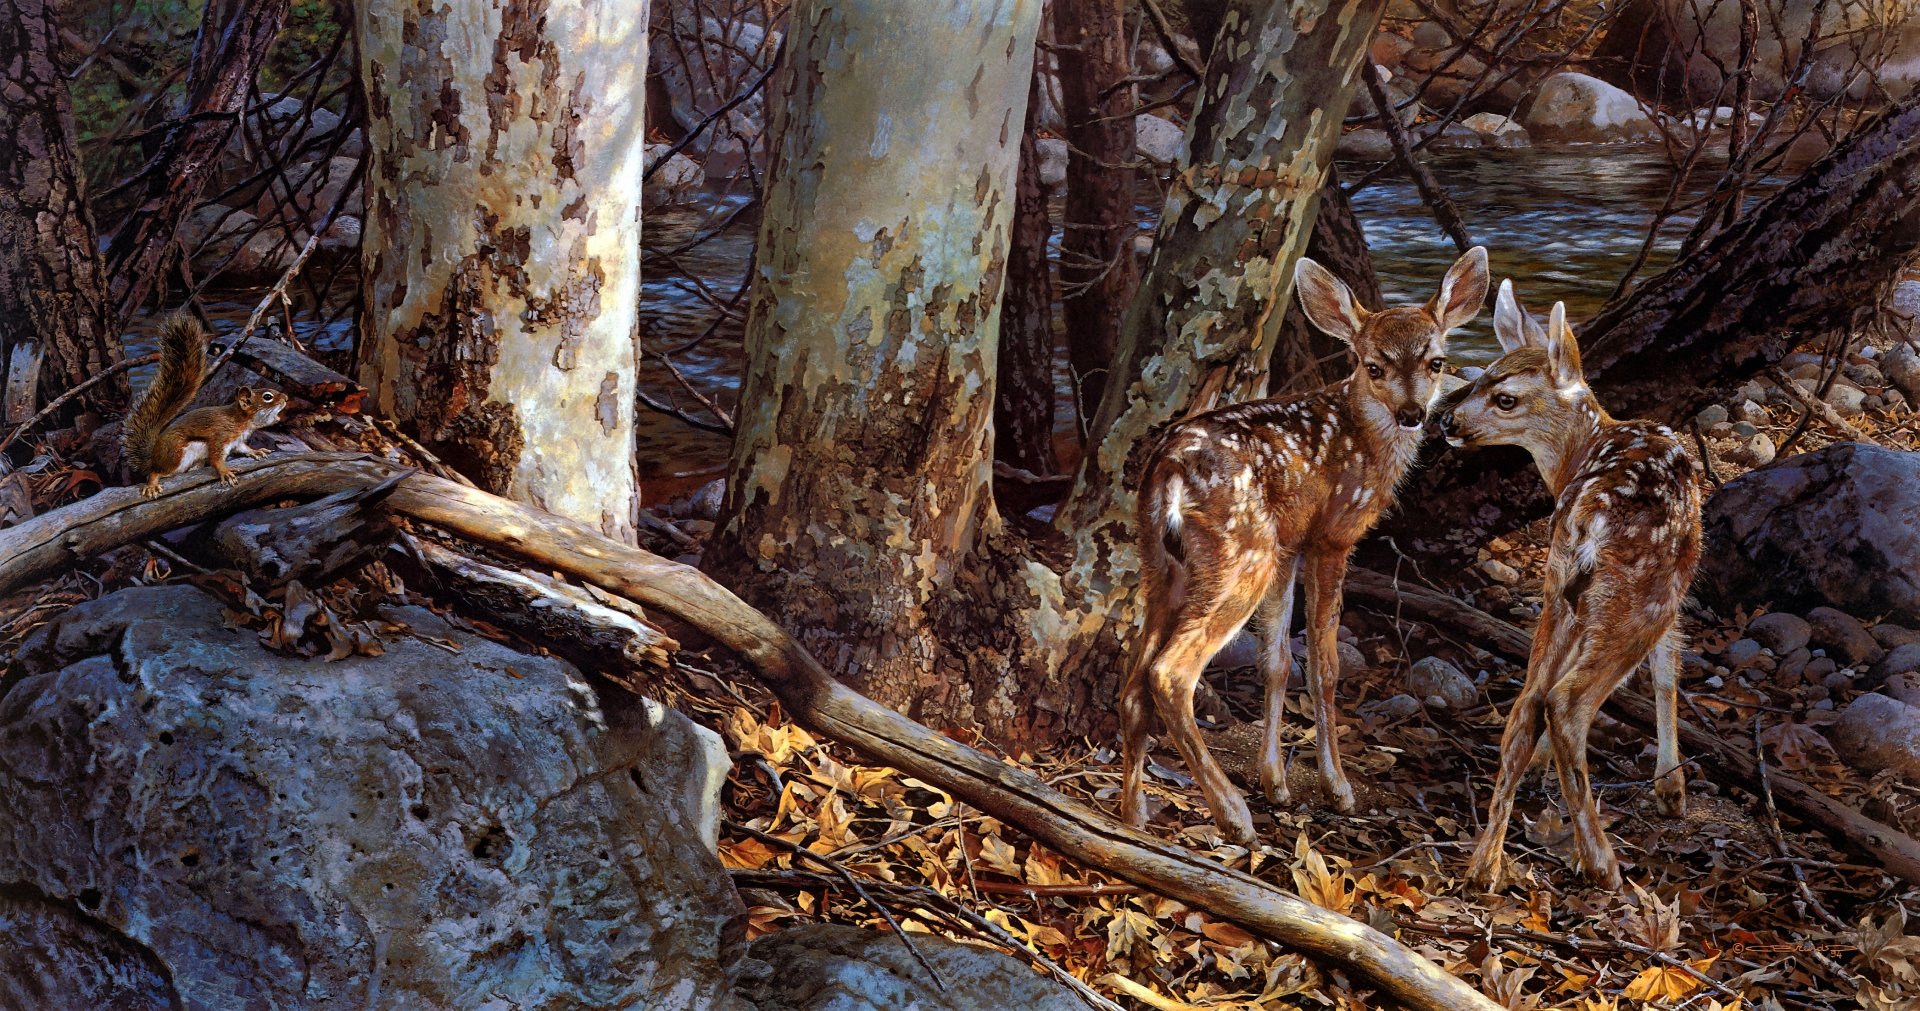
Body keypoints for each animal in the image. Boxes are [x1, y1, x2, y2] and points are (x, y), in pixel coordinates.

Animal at [1118, 246, 1489, 846]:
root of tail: (1169, 470)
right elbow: (1324, 665)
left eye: (1436, 362)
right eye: (1373, 365)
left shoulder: (1290, 545)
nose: (1413, 414)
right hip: (1240, 555)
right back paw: (1232, 814)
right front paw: (1337, 788)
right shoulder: (1333, 536)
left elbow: (1276, 662)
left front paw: (1277, 783)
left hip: (1163, 562)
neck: (1368, 438)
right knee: (1169, 674)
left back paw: (1135, 816)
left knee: (1133, 682)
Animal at [1438, 280, 1701, 889]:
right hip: (1637, 594)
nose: (1447, 422)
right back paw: (1602, 862)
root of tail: (1587, 513)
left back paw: (1484, 865)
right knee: (1566, 701)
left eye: (1502, 394)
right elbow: (1667, 672)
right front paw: (1671, 789)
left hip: (1559, 587)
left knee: (1526, 703)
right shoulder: (1677, 583)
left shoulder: (1571, 595)